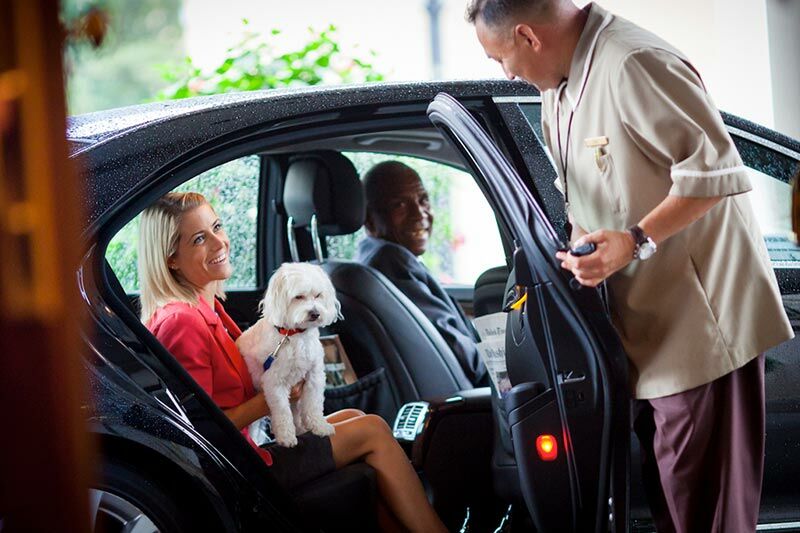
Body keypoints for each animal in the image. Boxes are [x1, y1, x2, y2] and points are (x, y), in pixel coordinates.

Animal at [236, 260, 340, 444]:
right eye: (298, 297)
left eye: (318, 295)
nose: (315, 313)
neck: (294, 335)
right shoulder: (274, 382)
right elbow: (282, 411)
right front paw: (285, 435)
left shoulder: (314, 376)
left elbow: (313, 404)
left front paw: (319, 426)